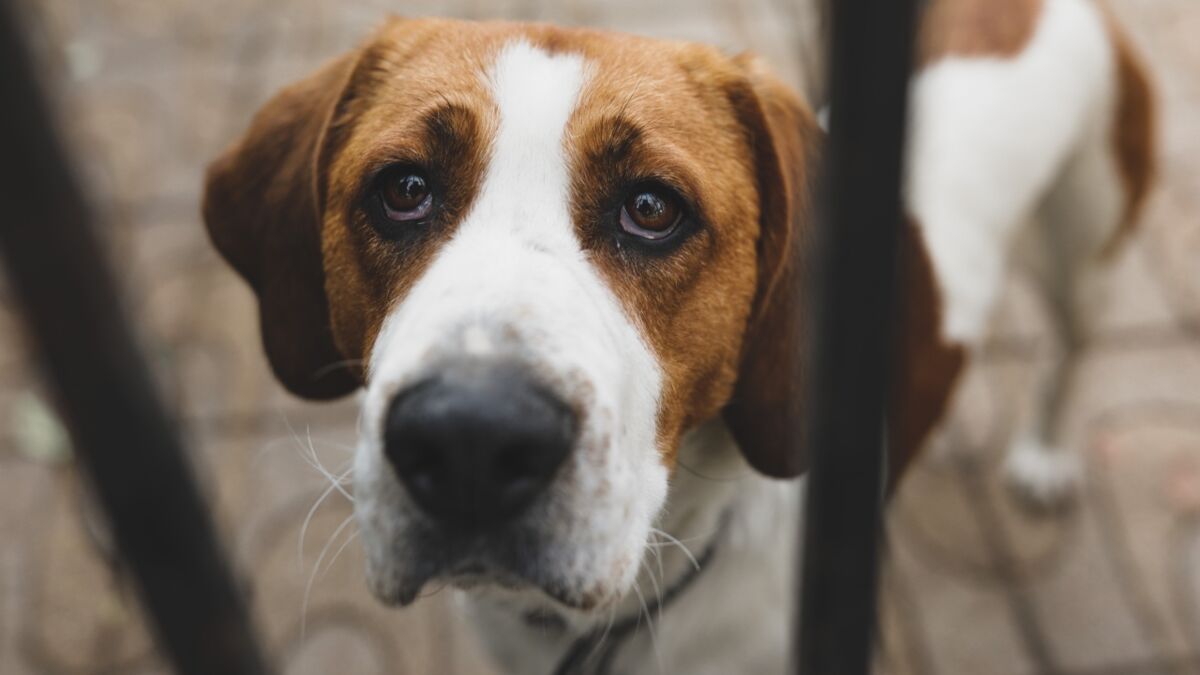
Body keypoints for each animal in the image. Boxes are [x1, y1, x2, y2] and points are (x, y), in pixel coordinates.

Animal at [204, 2, 1152, 667]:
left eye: (653, 209)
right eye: (403, 189)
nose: (471, 437)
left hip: (1086, 246)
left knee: (1070, 349)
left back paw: (1042, 455)